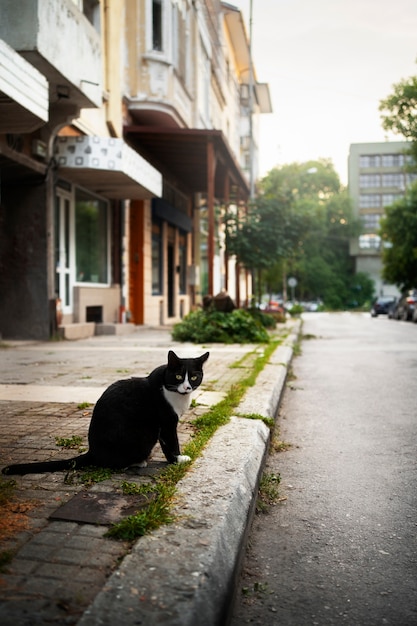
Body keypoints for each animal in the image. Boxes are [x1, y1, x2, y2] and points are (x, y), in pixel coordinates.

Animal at [0, 348, 207, 476]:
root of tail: (93, 451)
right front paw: (178, 459)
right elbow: (171, 444)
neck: (173, 391)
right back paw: (138, 462)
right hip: (144, 436)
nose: (187, 387)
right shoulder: (166, 423)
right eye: (178, 376)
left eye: (194, 377)